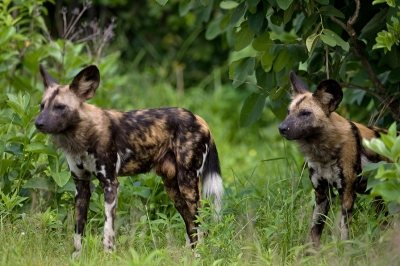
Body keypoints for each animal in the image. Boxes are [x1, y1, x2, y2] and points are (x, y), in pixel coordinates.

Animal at [34, 64, 223, 258]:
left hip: (188, 184)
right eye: (42, 106)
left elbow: (108, 229)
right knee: (190, 223)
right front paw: (76, 257)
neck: (83, 136)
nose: (38, 123)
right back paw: (189, 254)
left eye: (60, 107)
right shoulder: (81, 186)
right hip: (173, 187)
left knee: (200, 222)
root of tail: (200, 119)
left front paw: (108, 255)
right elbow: (78, 229)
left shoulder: (110, 184)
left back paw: (198, 255)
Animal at [278, 71, 390, 249]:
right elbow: (314, 232)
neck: (324, 153)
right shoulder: (321, 194)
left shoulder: (347, 193)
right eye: (288, 112)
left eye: (305, 113)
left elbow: (344, 233)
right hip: (380, 199)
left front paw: (345, 253)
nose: (281, 128)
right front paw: (311, 254)